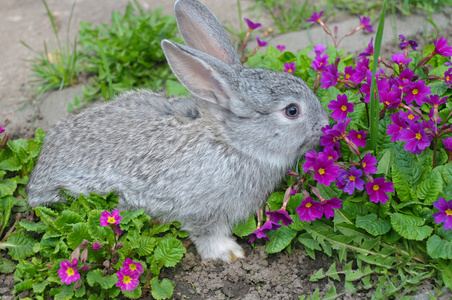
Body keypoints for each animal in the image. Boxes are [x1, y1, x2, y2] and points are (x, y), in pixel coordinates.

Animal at [25, 0, 328, 262]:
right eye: (292, 111)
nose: (324, 124)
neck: (234, 142)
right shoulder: (201, 209)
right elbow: (207, 233)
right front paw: (229, 253)